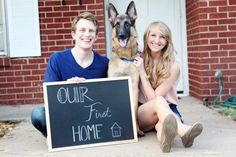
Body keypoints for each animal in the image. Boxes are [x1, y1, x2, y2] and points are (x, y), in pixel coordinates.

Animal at [107, 1, 144, 136]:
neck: (124, 57)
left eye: (127, 24)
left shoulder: (134, 87)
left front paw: (136, 130)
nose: (122, 35)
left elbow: (134, 110)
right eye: (117, 25)